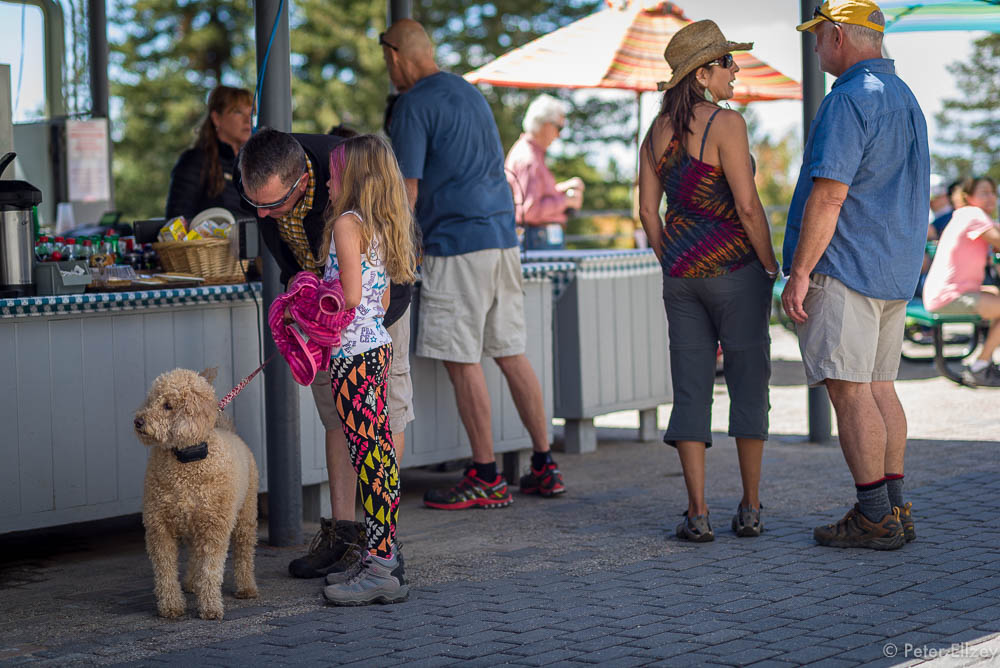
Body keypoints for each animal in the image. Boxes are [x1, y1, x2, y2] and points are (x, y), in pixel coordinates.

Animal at [134, 367, 259, 620]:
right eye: (150, 401)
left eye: (168, 406)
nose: (138, 421)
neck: (186, 460)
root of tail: (227, 430)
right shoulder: (159, 528)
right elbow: (165, 571)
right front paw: (171, 606)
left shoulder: (214, 529)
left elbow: (210, 570)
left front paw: (210, 607)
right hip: (193, 526)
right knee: (194, 556)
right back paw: (192, 583)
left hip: (245, 517)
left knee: (244, 553)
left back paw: (246, 587)